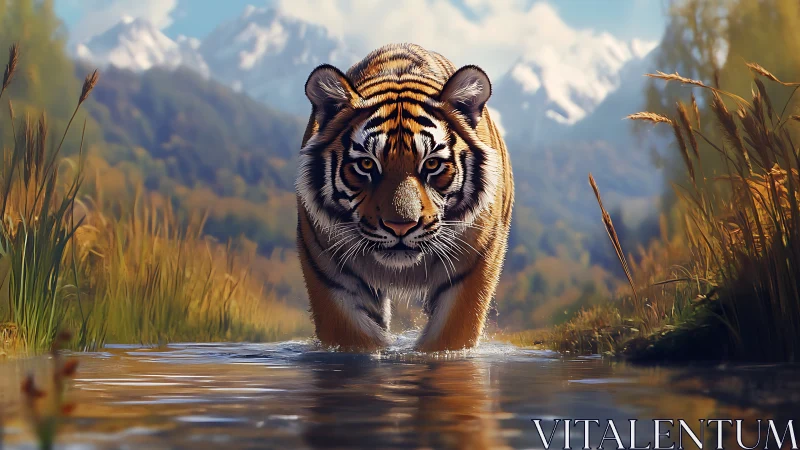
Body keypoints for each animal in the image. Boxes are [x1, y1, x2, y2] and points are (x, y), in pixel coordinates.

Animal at [295, 43, 514, 352]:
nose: (401, 227)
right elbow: (353, 336)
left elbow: (450, 335)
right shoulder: (328, 270)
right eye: (366, 164)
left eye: (432, 164)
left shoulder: (474, 264)